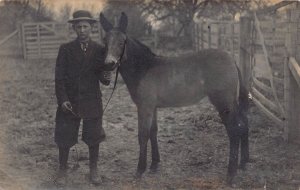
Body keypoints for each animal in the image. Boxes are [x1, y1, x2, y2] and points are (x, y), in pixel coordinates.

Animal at [99, 12, 250, 184]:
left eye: (121, 42)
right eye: (105, 41)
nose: (109, 64)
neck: (144, 68)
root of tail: (232, 60)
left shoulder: (144, 107)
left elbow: (143, 135)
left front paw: (139, 170)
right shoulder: (153, 107)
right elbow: (153, 132)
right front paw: (154, 165)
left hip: (224, 103)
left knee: (234, 130)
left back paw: (231, 174)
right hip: (232, 103)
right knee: (243, 124)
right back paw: (243, 163)